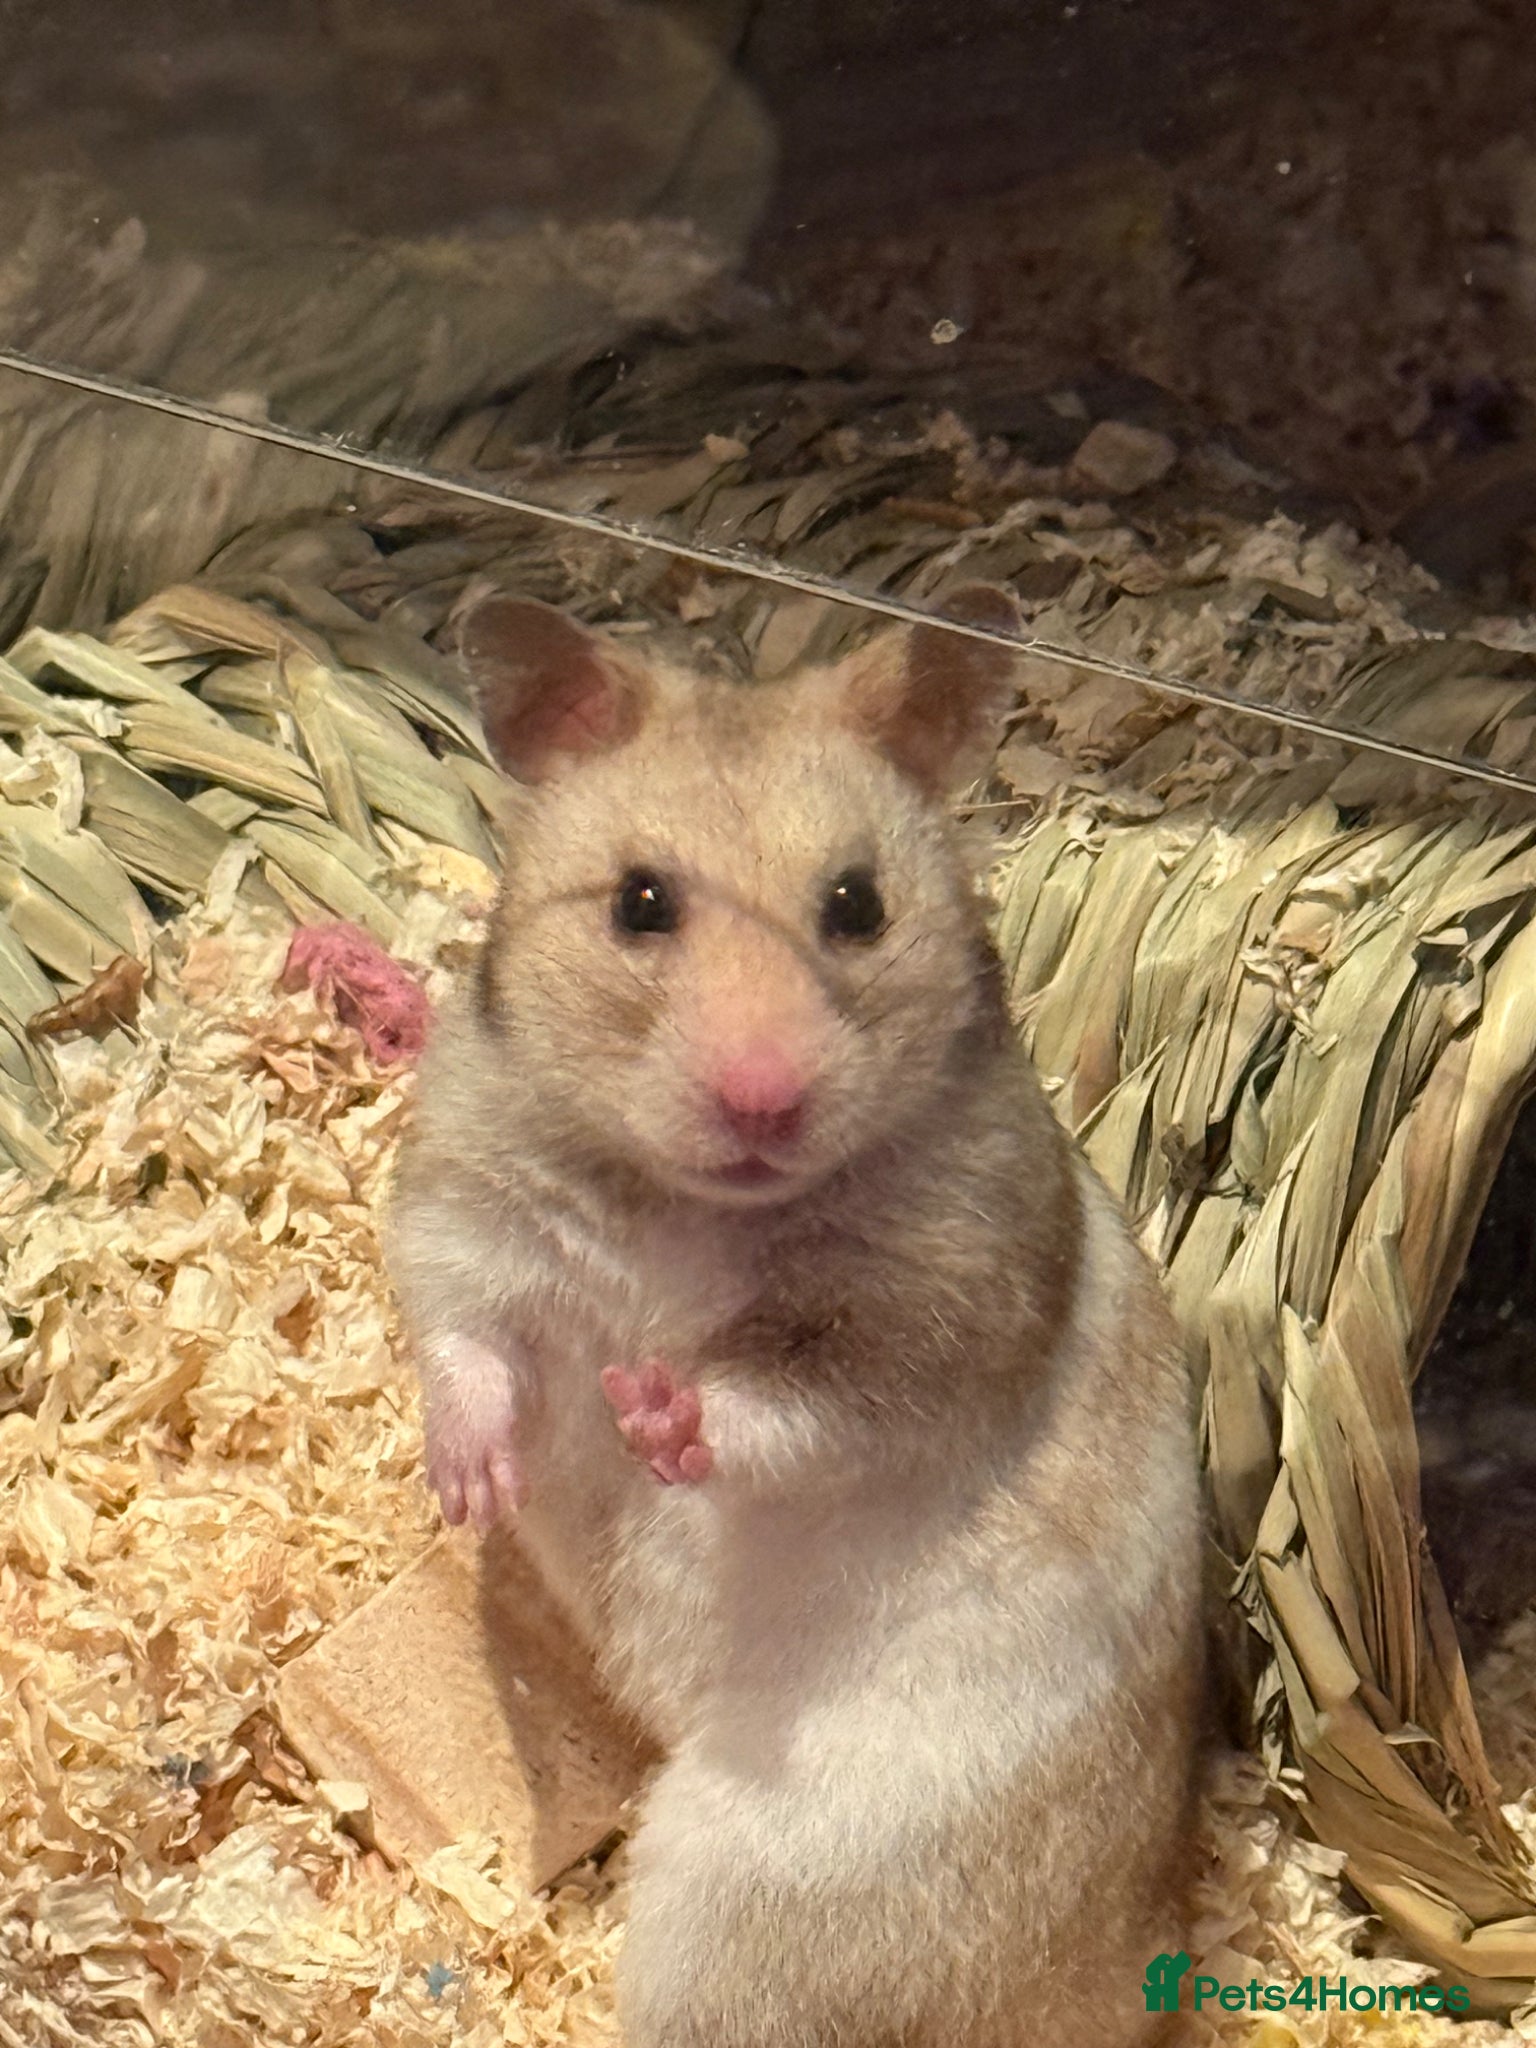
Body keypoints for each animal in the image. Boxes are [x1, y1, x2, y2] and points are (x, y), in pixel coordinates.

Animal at [384, 587, 1204, 2048]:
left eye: (858, 904)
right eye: (641, 902)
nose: (763, 1100)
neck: (684, 1203)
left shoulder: (935, 1320)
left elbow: (789, 1408)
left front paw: (650, 1408)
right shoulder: (460, 1202)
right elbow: (461, 1338)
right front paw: (475, 1486)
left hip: (755, 1897)